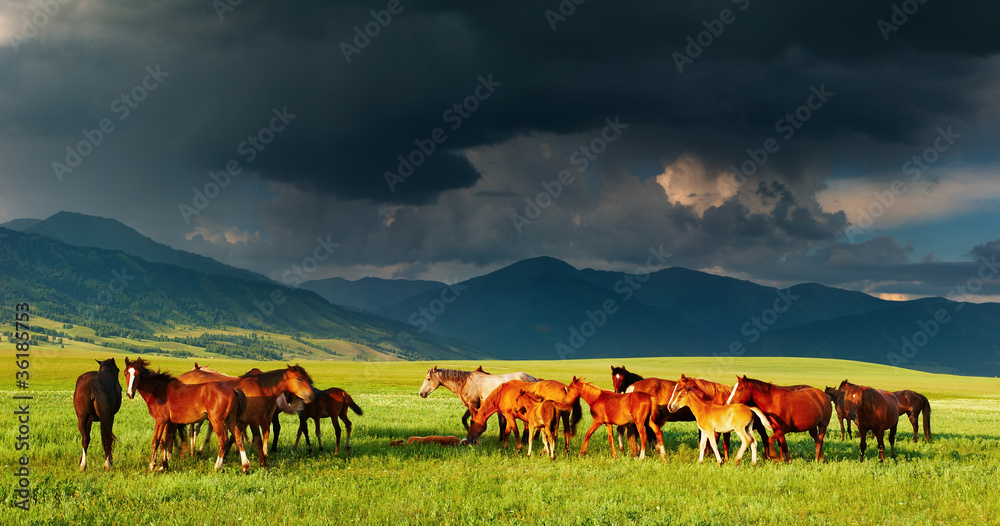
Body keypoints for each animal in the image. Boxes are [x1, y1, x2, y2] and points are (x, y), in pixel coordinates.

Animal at [123, 358, 252, 474]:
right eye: (125, 373)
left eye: (138, 374)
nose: (130, 394)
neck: (158, 390)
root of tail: (233, 390)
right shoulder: (167, 422)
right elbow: (164, 442)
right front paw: (163, 466)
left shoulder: (160, 420)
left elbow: (156, 441)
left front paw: (151, 466)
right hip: (230, 420)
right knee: (238, 437)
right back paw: (245, 467)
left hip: (217, 421)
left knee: (223, 440)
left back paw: (217, 467)